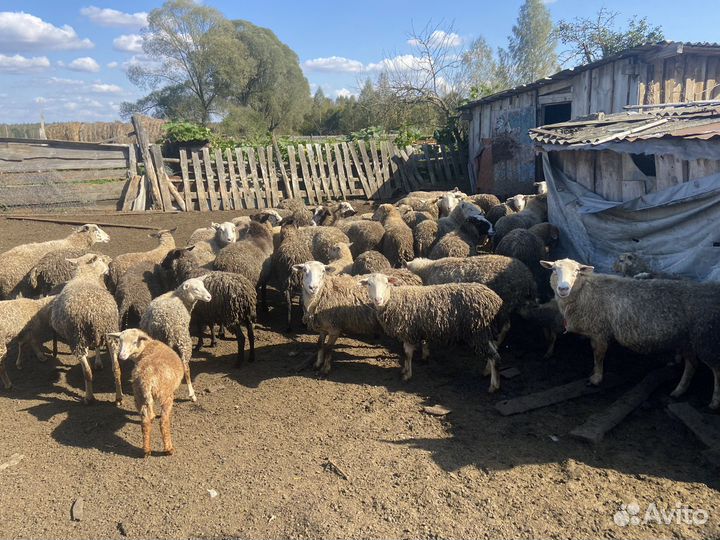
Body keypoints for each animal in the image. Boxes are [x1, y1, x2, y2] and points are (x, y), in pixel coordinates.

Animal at [50, 253, 121, 404]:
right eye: (102, 260)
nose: (110, 261)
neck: (85, 276)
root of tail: (94, 313)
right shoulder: (98, 335)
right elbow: (97, 347)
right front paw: (98, 363)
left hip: (77, 338)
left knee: (87, 372)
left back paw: (89, 397)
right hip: (110, 333)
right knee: (116, 368)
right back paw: (118, 397)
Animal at [107, 329, 184, 457]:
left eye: (134, 342)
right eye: (120, 341)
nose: (121, 356)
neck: (146, 347)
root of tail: (147, 378)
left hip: (139, 394)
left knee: (145, 420)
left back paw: (146, 450)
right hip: (165, 395)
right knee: (163, 421)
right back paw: (168, 449)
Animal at [359, 273, 503, 391]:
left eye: (386, 283)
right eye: (369, 284)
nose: (378, 300)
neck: (392, 300)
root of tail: (495, 299)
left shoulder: (408, 331)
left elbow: (408, 354)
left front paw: (407, 375)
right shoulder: (409, 332)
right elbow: (407, 353)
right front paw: (405, 369)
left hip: (478, 331)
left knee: (494, 356)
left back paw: (494, 385)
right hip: (483, 332)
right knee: (494, 351)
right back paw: (487, 372)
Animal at [540, 258, 720, 408]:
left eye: (577, 271)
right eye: (554, 269)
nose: (563, 288)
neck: (584, 290)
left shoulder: (599, 330)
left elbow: (598, 355)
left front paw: (596, 378)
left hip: (705, 338)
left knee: (715, 369)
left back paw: (714, 402)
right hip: (686, 340)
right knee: (692, 364)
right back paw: (678, 391)